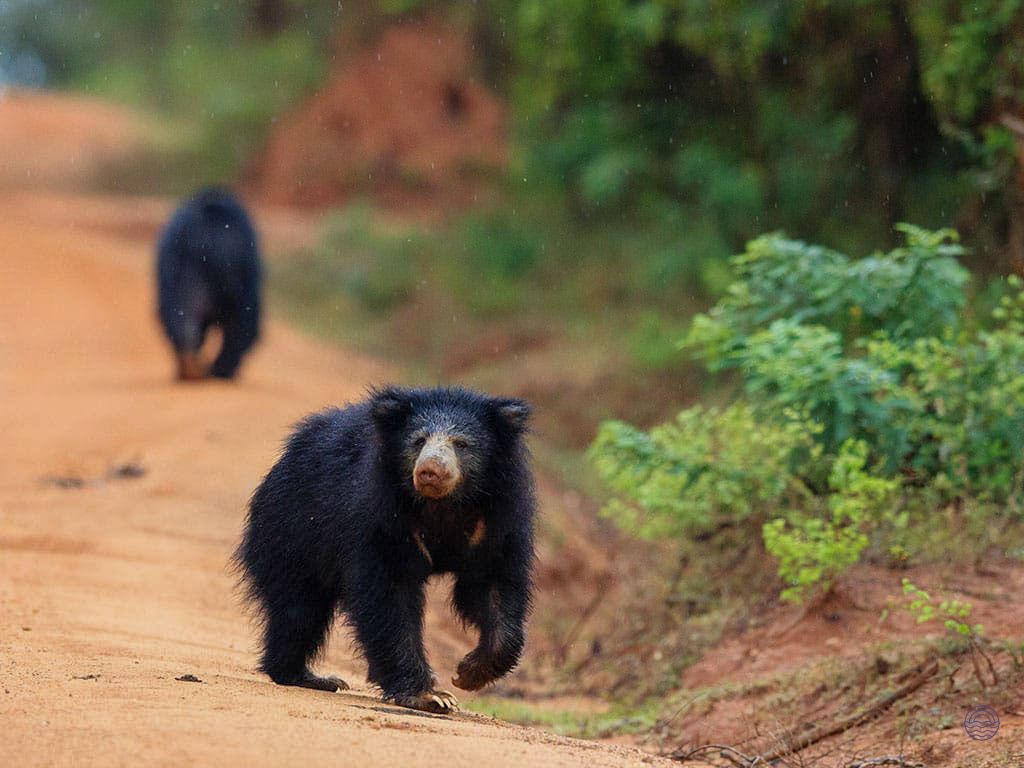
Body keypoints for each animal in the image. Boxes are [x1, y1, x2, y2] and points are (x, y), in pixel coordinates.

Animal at [156, 187, 261, 380]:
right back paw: (217, 372)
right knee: (241, 324)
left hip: (178, 275)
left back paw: (192, 369)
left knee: (179, 315)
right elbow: (246, 323)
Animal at [233, 386, 536, 714]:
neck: (442, 505)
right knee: (299, 605)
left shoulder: (496, 525)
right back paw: (304, 676)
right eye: (418, 441)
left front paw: (469, 673)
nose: (430, 470)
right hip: (292, 530)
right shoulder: (382, 519)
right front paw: (431, 696)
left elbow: (492, 588)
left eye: (461, 444)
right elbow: (390, 598)